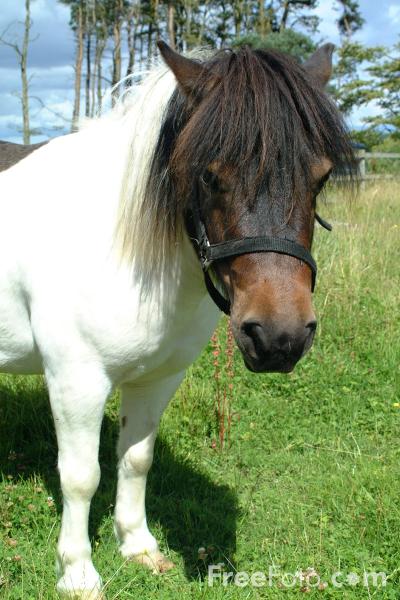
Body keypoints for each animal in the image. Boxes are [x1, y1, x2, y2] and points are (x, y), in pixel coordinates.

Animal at [0, 41, 356, 596]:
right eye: (209, 175)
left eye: (319, 178)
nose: (279, 338)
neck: (120, 247)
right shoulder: (75, 379)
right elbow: (81, 476)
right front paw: (78, 573)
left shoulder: (158, 378)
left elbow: (135, 458)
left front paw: (138, 546)